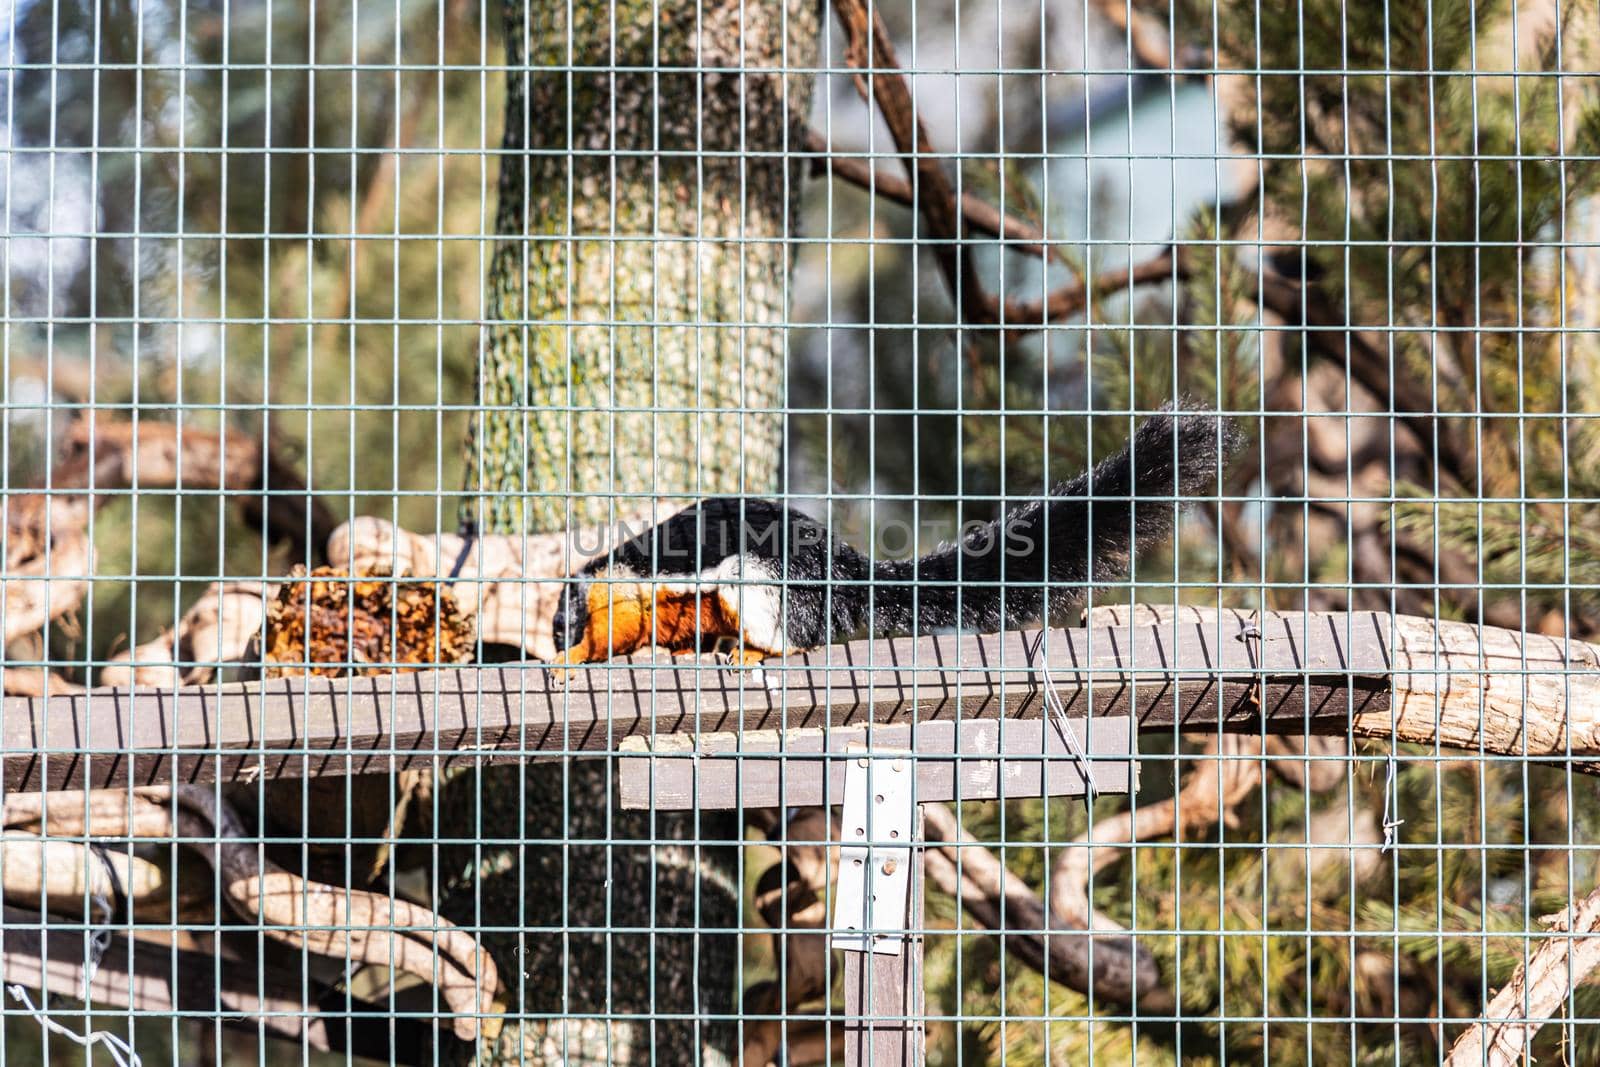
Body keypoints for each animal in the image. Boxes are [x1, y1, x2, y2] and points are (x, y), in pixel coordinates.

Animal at [547, 403, 1235, 675]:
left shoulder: (624, 592)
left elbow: (612, 633)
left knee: (791, 639)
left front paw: (569, 659)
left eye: (560, 622)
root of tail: (848, 575)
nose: (555, 638)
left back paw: (751, 654)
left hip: (760, 586)